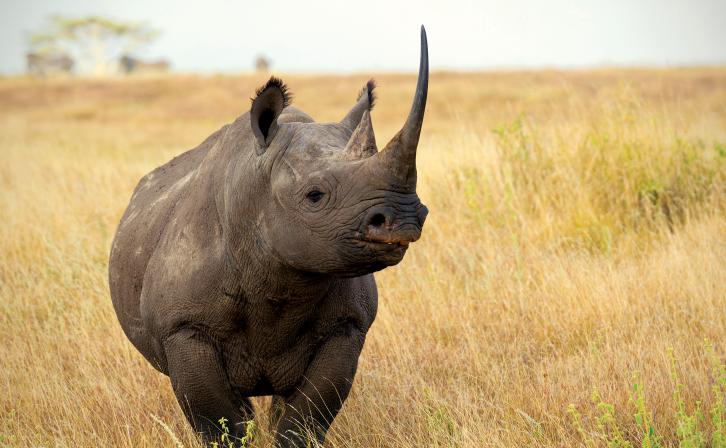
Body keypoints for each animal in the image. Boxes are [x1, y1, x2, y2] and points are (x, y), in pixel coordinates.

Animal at [108, 27, 429, 447]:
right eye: (314, 196)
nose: (405, 217)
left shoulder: (347, 324)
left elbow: (304, 419)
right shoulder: (183, 327)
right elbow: (219, 422)